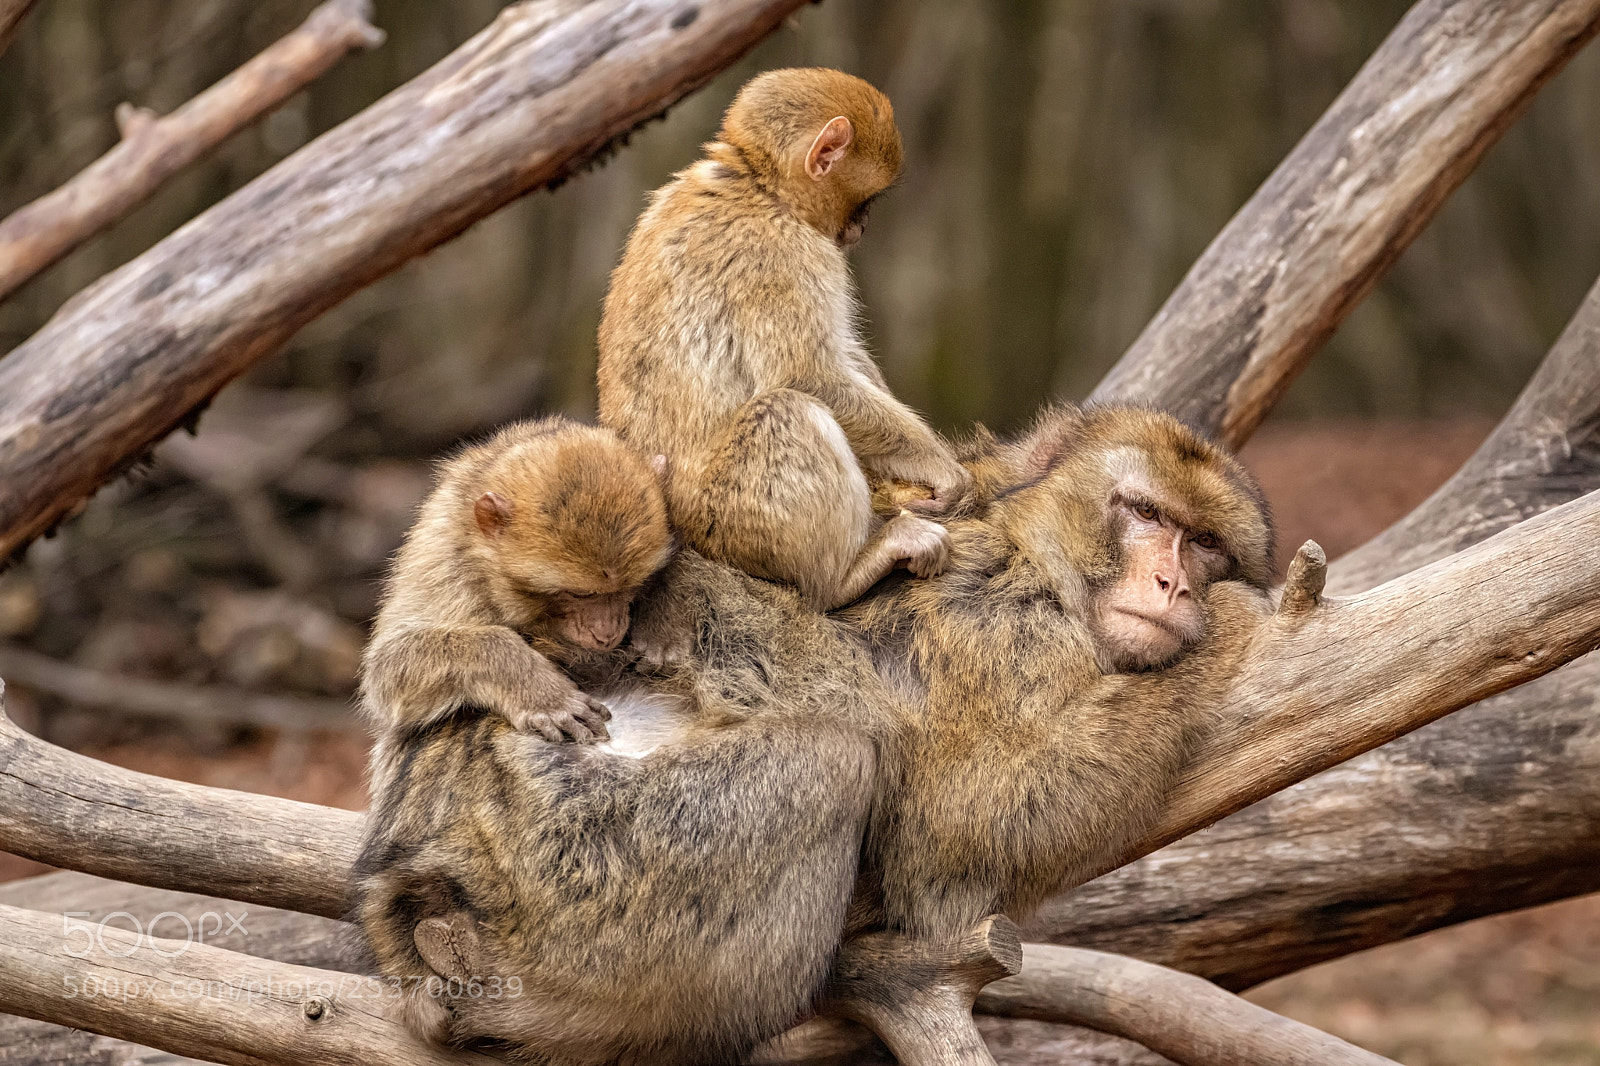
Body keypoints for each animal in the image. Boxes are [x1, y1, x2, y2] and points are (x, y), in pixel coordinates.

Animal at [359, 417, 673, 768]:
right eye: (581, 595)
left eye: (628, 588)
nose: (606, 633)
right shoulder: (448, 570)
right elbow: (388, 667)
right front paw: (540, 691)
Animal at [596, 68, 973, 611]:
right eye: (867, 201)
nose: (862, 226)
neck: (760, 184)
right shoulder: (780, 253)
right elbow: (810, 376)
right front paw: (940, 467)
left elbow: (845, 356)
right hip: (725, 522)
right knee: (786, 410)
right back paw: (842, 575)